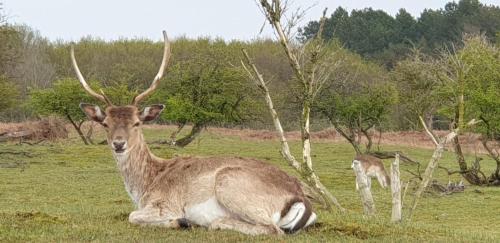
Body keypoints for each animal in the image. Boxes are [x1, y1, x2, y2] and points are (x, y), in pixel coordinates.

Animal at [72, 30, 316, 235]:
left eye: (137, 123)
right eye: (106, 123)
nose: (119, 143)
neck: (145, 186)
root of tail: (300, 198)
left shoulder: (165, 204)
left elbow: (132, 216)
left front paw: (180, 221)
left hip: (229, 183)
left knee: (272, 229)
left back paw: (204, 222)